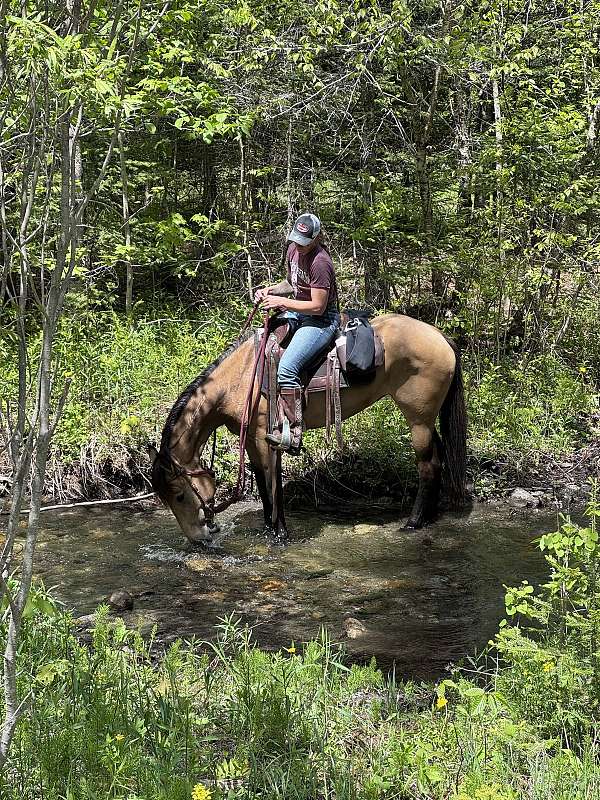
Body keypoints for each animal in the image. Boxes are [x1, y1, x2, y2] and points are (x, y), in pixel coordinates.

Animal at [150, 313, 467, 544]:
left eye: (179, 494)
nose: (198, 539)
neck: (240, 380)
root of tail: (440, 335)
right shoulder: (251, 439)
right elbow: (263, 484)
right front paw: (268, 528)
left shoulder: (267, 436)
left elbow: (272, 483)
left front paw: (280, 534)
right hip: (426, 419)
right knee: (437, 459)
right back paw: (428, 517)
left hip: (417, 419)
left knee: (427, 466)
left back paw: (413, 523)